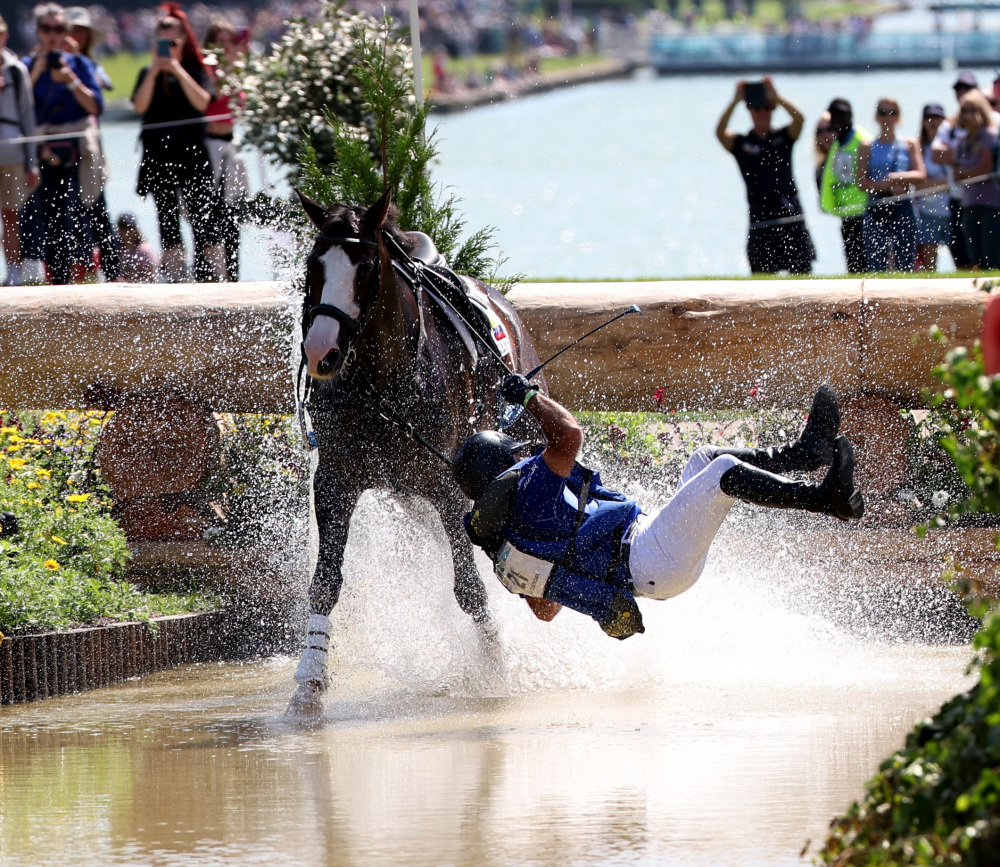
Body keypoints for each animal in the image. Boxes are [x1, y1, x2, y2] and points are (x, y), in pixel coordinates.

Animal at [290, 188, 548, 712]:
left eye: (367, 268)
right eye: (313, 265)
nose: (321, 351)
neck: (384, 380)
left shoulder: (445, 487)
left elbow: (470, 588)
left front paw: (494, 664)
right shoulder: (335, 483)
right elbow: (325, 583)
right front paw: (310, 679)